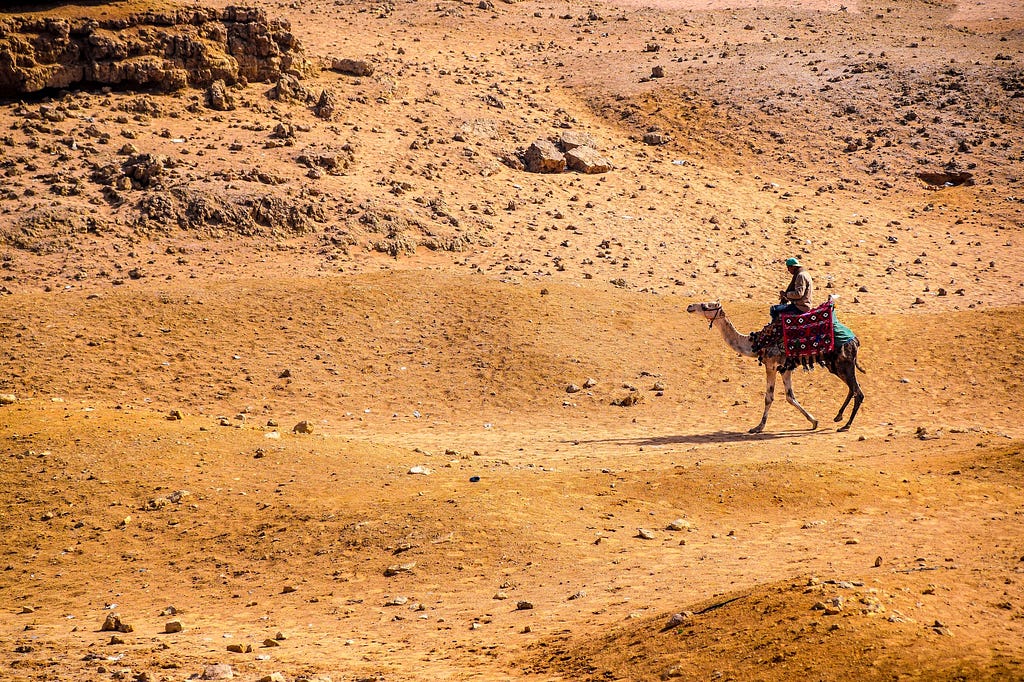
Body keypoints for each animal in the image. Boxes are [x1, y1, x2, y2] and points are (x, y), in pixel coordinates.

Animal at [688, 301, 864, 430]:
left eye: (705, 306)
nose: (690, 307)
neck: (756, 343)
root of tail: (855, 340)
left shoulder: (771, 365)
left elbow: (769, 397)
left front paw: (758, 427)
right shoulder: (785, 368)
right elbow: (790, 396)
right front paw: (814, 422)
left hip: (844, 362)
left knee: (858, 391)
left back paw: (846, 426)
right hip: (834, 365)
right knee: (853, 388)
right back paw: (838, 417)